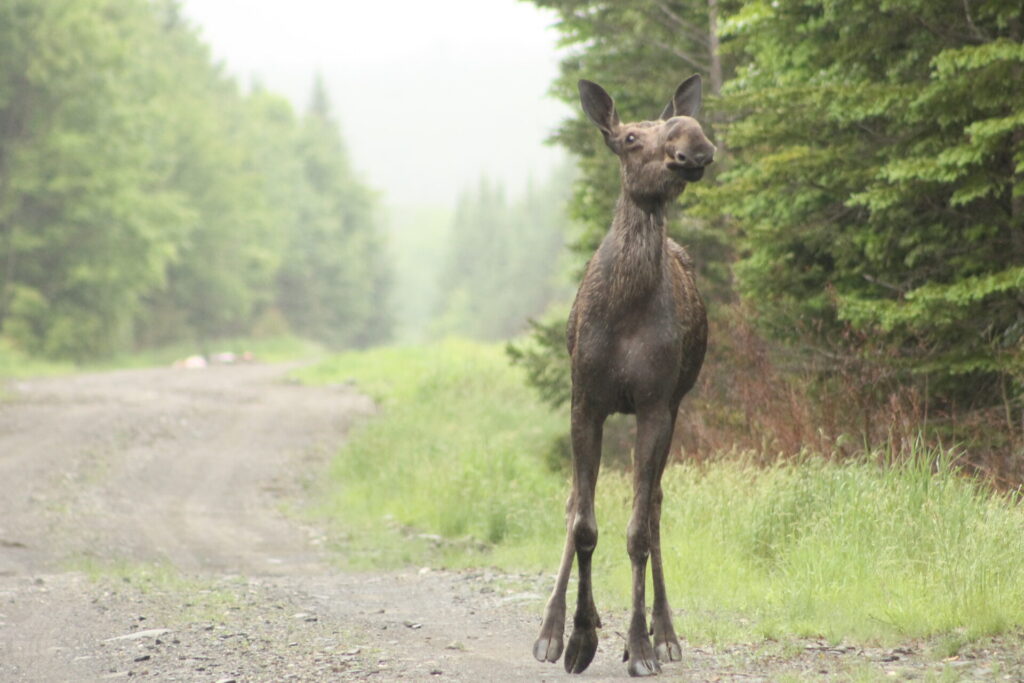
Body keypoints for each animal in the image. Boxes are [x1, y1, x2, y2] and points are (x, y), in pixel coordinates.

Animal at [532, 76, 716, 679]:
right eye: (631, 137)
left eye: (673, 128)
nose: (693, 141)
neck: (626, 307)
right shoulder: (586, 399)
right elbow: (585, 523)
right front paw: (576, 636)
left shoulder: (655, 403)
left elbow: (636, 529)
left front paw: (639, 644)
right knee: (575, 502)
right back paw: (552, 624)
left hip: (676, 406)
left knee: (654, 505)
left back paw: (666, 633)